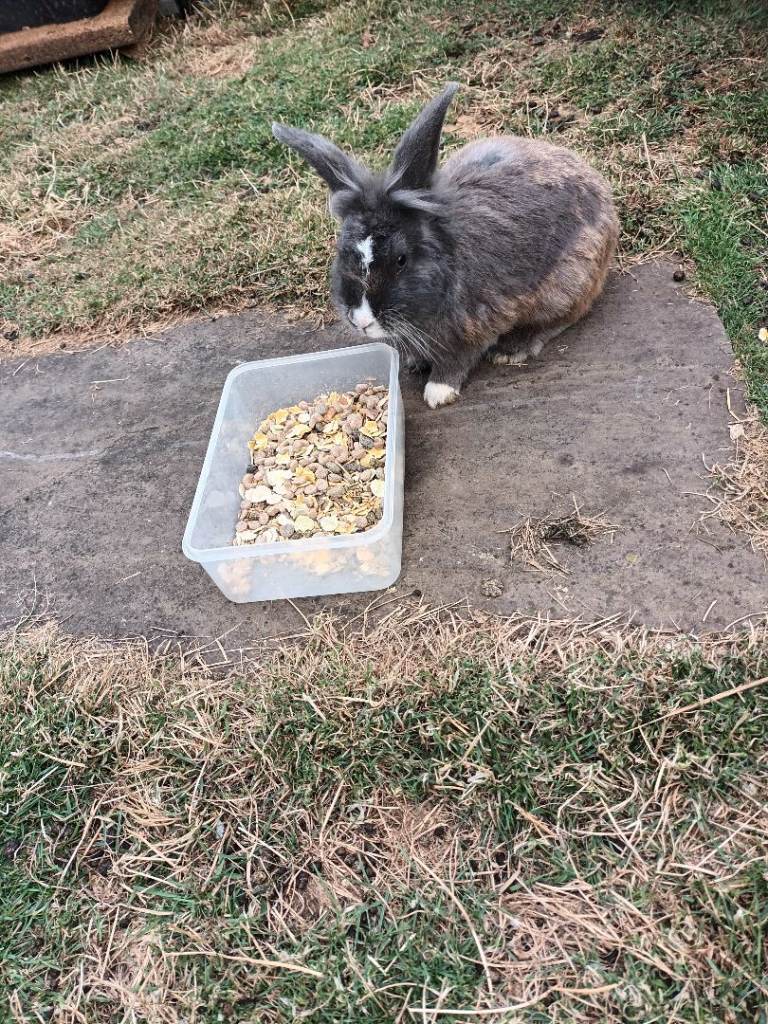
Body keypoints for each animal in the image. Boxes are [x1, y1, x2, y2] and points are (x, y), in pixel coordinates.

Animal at [272, 83, 619, 409]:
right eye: (342, 251)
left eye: (401, 259)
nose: (361, 320)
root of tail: (598, 183)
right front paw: (414, 364)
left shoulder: (475, 325)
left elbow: (456, 360)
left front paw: (438, 393)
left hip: (569, 282)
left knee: (565, 317)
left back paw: (512, 350)